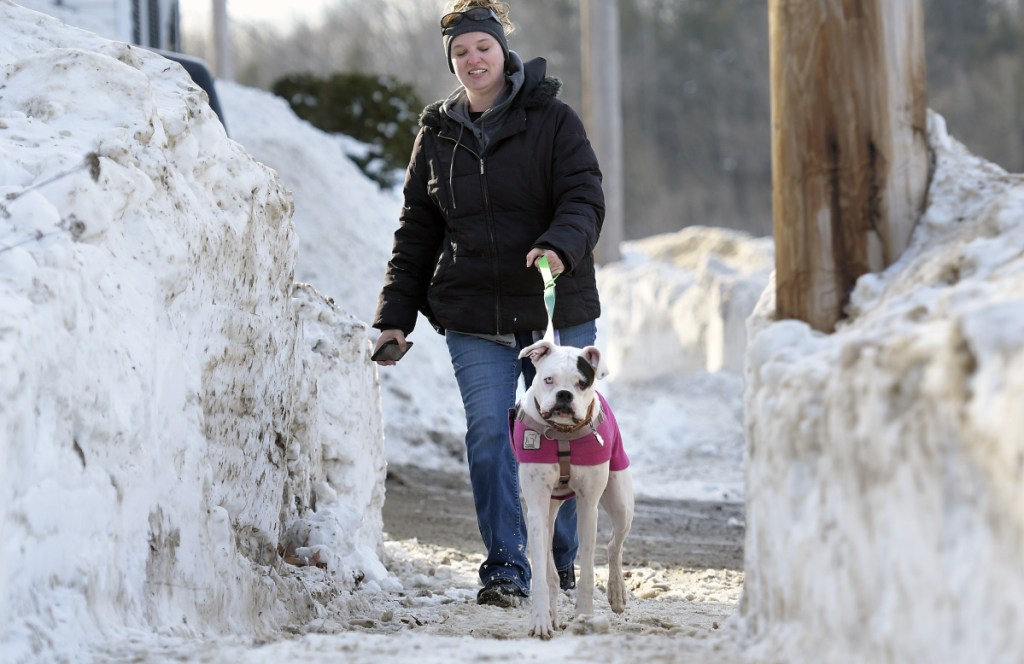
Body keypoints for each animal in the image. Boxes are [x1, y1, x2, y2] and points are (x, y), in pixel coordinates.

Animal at [512, 340, 630, 639]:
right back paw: (553, 614)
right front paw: (540, 621)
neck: (563, 434)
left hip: (622, 503)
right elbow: (541, 572)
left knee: (615, 544)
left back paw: (616, 593)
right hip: (548, 512)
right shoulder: (537, 508)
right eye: (548, 380)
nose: (564, 395)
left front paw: (584, 617)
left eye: (582, 383)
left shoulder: (588, 507)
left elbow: (587, 568)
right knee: (551, 570)